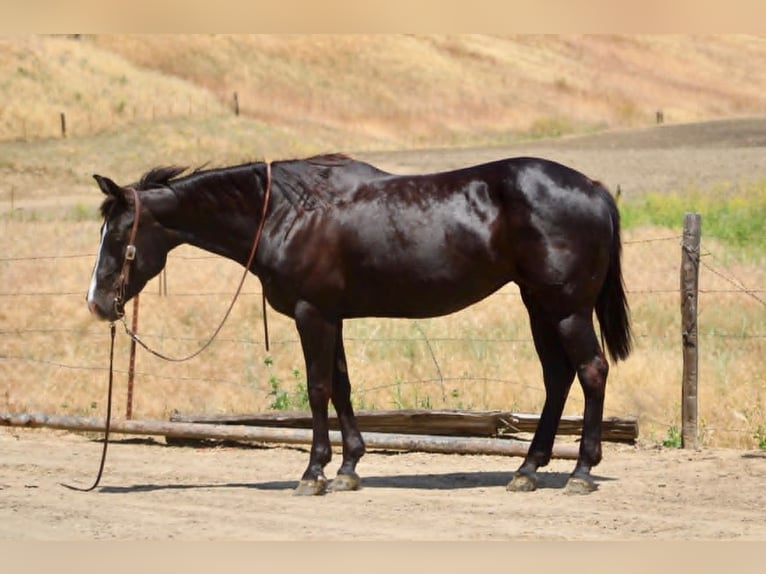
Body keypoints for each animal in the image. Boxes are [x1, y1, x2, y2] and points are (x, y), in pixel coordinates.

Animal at [86, 153, 631, 495]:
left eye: (118, 234)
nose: (96, 303)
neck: (287, 213)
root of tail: (595, 190)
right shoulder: (333, 316)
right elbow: (343, 387)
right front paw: (348, 467)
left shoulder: (313, 314)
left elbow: (317, 388)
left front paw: (313, 472)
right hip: (538, 305)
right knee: (557, 378)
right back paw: (527, 469)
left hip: (565, 308)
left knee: (591, 371)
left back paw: (581, 472)